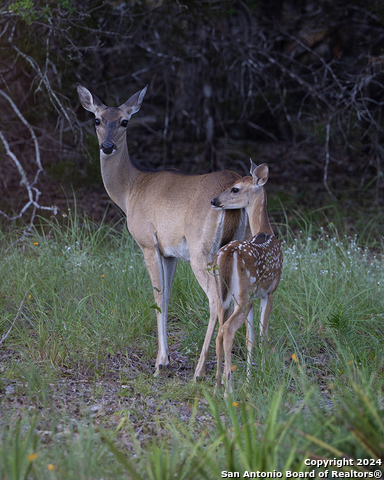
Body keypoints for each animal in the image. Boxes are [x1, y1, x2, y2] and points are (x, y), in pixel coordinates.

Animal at [76, 85, 249, 378]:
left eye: (125, 121)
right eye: (97, 120)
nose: (107, 146)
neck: (131, 190)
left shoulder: (148, 242)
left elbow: (157, 297)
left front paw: (160, 362)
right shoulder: (170, 253)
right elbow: (167, 297)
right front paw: (164, 359)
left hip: (201, 250)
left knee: (216, 300)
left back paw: (200, 371)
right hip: (236, 244)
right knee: (237, 299)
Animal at [210, 161, 282, 394]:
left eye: (235, 188)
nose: (214, 201)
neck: (265, 231)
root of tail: (226, 254)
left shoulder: (254, 297)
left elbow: (251, 338)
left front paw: (251, 379)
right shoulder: (268, 292)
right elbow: (262, 333)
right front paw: (265, 374)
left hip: (224, 295)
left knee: (219, 331)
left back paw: (217, 385)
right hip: (244, 294)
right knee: (228, 329)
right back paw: (227, 390)